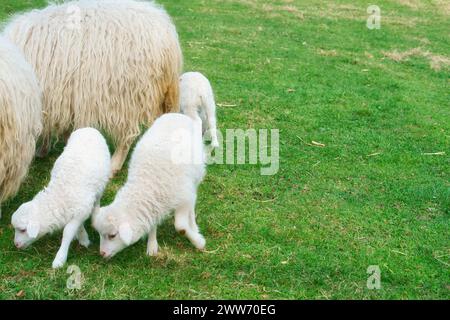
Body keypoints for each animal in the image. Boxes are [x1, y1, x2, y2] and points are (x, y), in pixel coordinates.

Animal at [11, 127, 110, 268]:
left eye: (23, 230)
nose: (16, 245)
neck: (59, 196)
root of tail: (89, 128)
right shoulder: (77, 211)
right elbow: (77, 227)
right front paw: (82, 237)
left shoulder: (81, 210)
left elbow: (67, 232)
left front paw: (60, 258)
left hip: (102, 183)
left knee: (97, 200)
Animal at [95, 112, 207, 258]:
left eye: (112, 235)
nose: (102, 253)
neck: (147, 184)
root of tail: (176, 114)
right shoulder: (154, 205)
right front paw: (152, 244)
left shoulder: (184, 198)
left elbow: (181, 227)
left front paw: (198, 241)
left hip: (195, 177)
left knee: (193, 203)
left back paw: (193, 225)